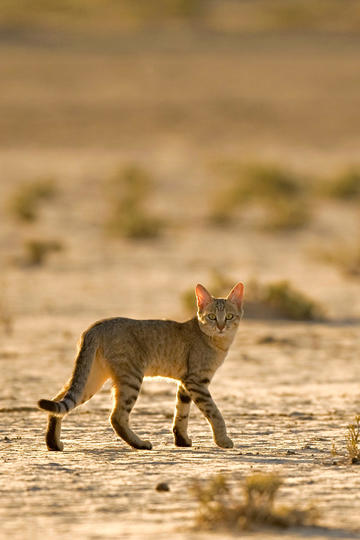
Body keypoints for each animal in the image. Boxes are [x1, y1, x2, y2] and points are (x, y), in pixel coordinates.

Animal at [37, 282, 245, 452]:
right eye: (211, 317)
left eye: (229, 316)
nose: (220, 327)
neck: (216, 342)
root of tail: (95, 326)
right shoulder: (196, 382)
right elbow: (214, 412)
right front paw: (223, 440)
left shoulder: (185, 383)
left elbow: (181, 413)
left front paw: (182, 440)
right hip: (131, 377)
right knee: (116, 417)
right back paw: (140, 444)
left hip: (91, 378)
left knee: (57, 401)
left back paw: (53, 444)